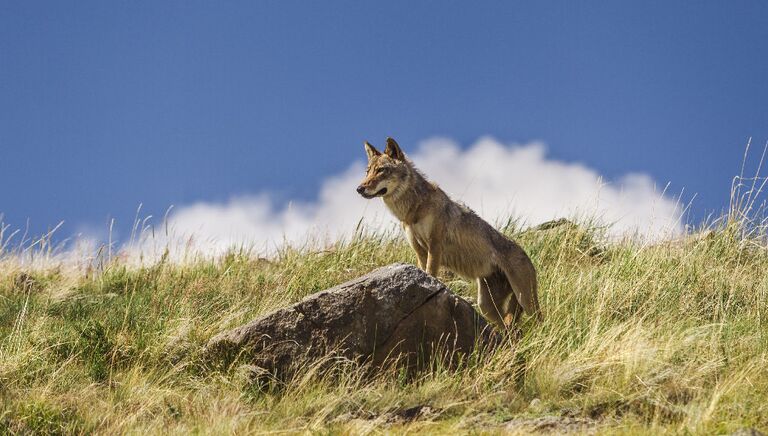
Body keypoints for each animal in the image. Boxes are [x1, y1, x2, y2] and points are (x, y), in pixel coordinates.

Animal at [356, 138, 540, 328]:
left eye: (381, 170)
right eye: (368, 172)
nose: (359, 188)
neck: (414, 209)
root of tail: (527, 256)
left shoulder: (435, 245)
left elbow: (431, 273)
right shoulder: (420, 251)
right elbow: (424, 270)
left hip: (525, 302)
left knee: (538, 319)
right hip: (486, 306)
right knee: (508, 327)